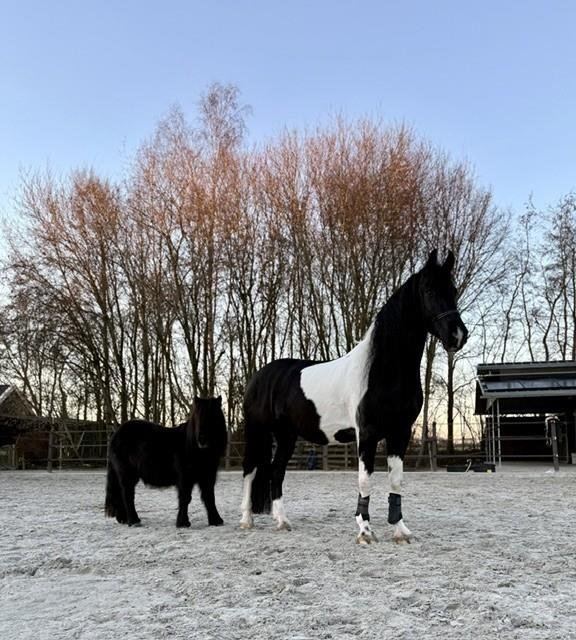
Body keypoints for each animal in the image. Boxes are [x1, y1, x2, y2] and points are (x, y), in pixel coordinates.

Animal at [105, 397, 227, 528]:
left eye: (213, 416)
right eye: (197, 417)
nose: (202, 440)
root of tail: (116, 434)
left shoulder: (208, 477)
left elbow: (209, 497)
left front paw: (216, 521)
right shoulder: (184, 478)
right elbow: (185, 498)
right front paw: (183, 523)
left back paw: (124, 519)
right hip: (127, 474)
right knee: (127, 495)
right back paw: (133, 521)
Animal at [240, 250, 468, 543]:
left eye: (453, 290)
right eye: (429, 289)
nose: (458, 335)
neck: (382, 370)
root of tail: (259, 376)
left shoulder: (400, 432)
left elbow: (396, 480)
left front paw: (400, 530)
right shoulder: (367, 433)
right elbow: (364, 480)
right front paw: (365, 531)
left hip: (286, 436)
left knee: (275, 472)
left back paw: (282, 522)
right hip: (257, 431)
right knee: (250, 471)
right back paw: (246, 520)